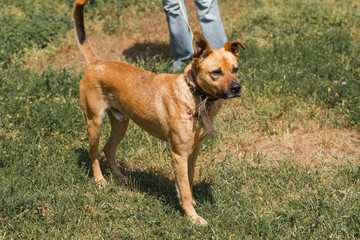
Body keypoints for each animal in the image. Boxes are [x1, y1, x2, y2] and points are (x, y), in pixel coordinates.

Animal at [73, 0, 246, 225]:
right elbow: (184, 187)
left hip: (121, 123)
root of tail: (96, 62)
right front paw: (193, 216)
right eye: (216, 72)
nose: (236, 88)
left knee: (108, 149)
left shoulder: (194, 151)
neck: (194, 95)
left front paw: (191, 202)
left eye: (235, 69)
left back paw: (120, 177)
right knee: (93, 153)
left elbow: (189, 181)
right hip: (94, 122)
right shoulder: (179, 154)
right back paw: (100, 180)